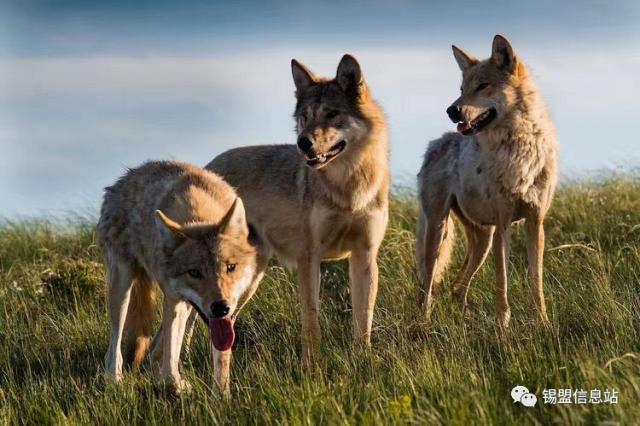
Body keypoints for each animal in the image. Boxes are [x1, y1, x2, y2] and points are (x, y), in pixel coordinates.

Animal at [95, 161, 264, 394]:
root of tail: (123, 178)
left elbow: (220, 358)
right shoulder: (174, 299)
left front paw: (221, 395)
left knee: (153, 349)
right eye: (194, 272)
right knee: (115, 347)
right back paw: (115, 379)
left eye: (230, 267)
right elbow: (170, 361)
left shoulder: (223, 317)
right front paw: (174, 384)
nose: (221, 307)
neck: (199, 213)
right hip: (122, 288)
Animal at [200, 54, 390, 366]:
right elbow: (311, 323)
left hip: (247, 282)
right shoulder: (308, 258)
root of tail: (206, 167)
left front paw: (363, 361)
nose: (303, 143)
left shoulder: (364, 256)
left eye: (331, 114)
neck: (348, 190)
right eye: (305, 117)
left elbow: (363, 321)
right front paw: (311, 369)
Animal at [418, 35, 556, 330]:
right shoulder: (504, 225)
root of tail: (436, 142)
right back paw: (423, 324)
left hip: (482, 240)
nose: (452, 110)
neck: (519, 147)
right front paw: (503, 326)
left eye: (482, 86)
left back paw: (464, 317)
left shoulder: (535, 222)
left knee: (455, 288)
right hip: (439, 232)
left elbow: (536, 281)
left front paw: (542, 321)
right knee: (426, 288)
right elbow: (501, 282)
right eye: (462, 89)